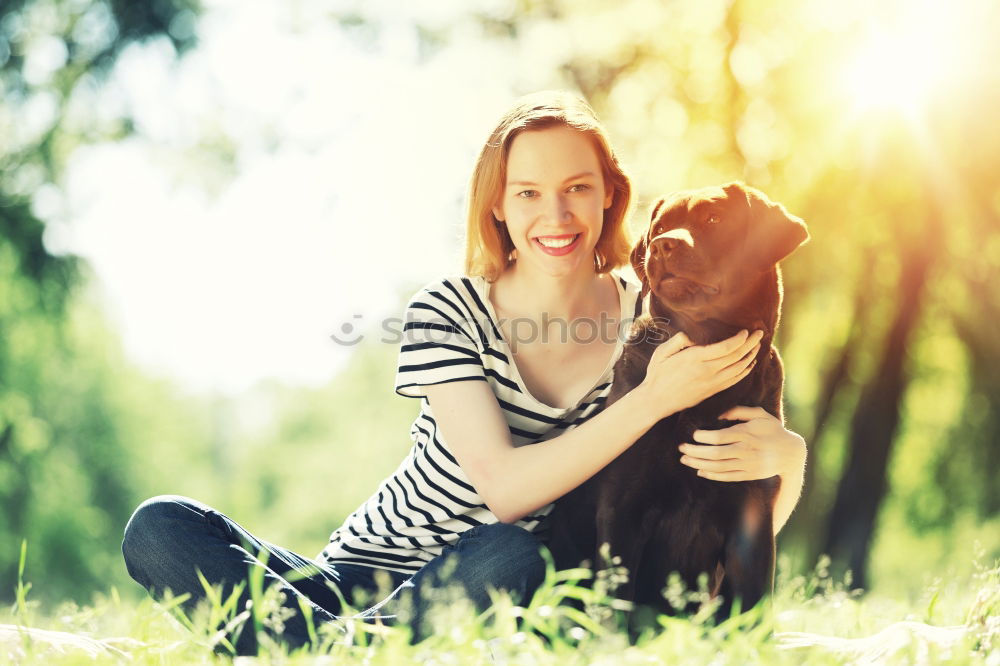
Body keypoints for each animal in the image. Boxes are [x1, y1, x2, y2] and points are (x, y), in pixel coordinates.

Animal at [552, 180, 808, 624]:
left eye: (714, 218)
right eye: (660, 227)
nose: (663, 245)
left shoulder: (754, 515)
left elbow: (752, 608)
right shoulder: (622, 506)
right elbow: (615, 601)